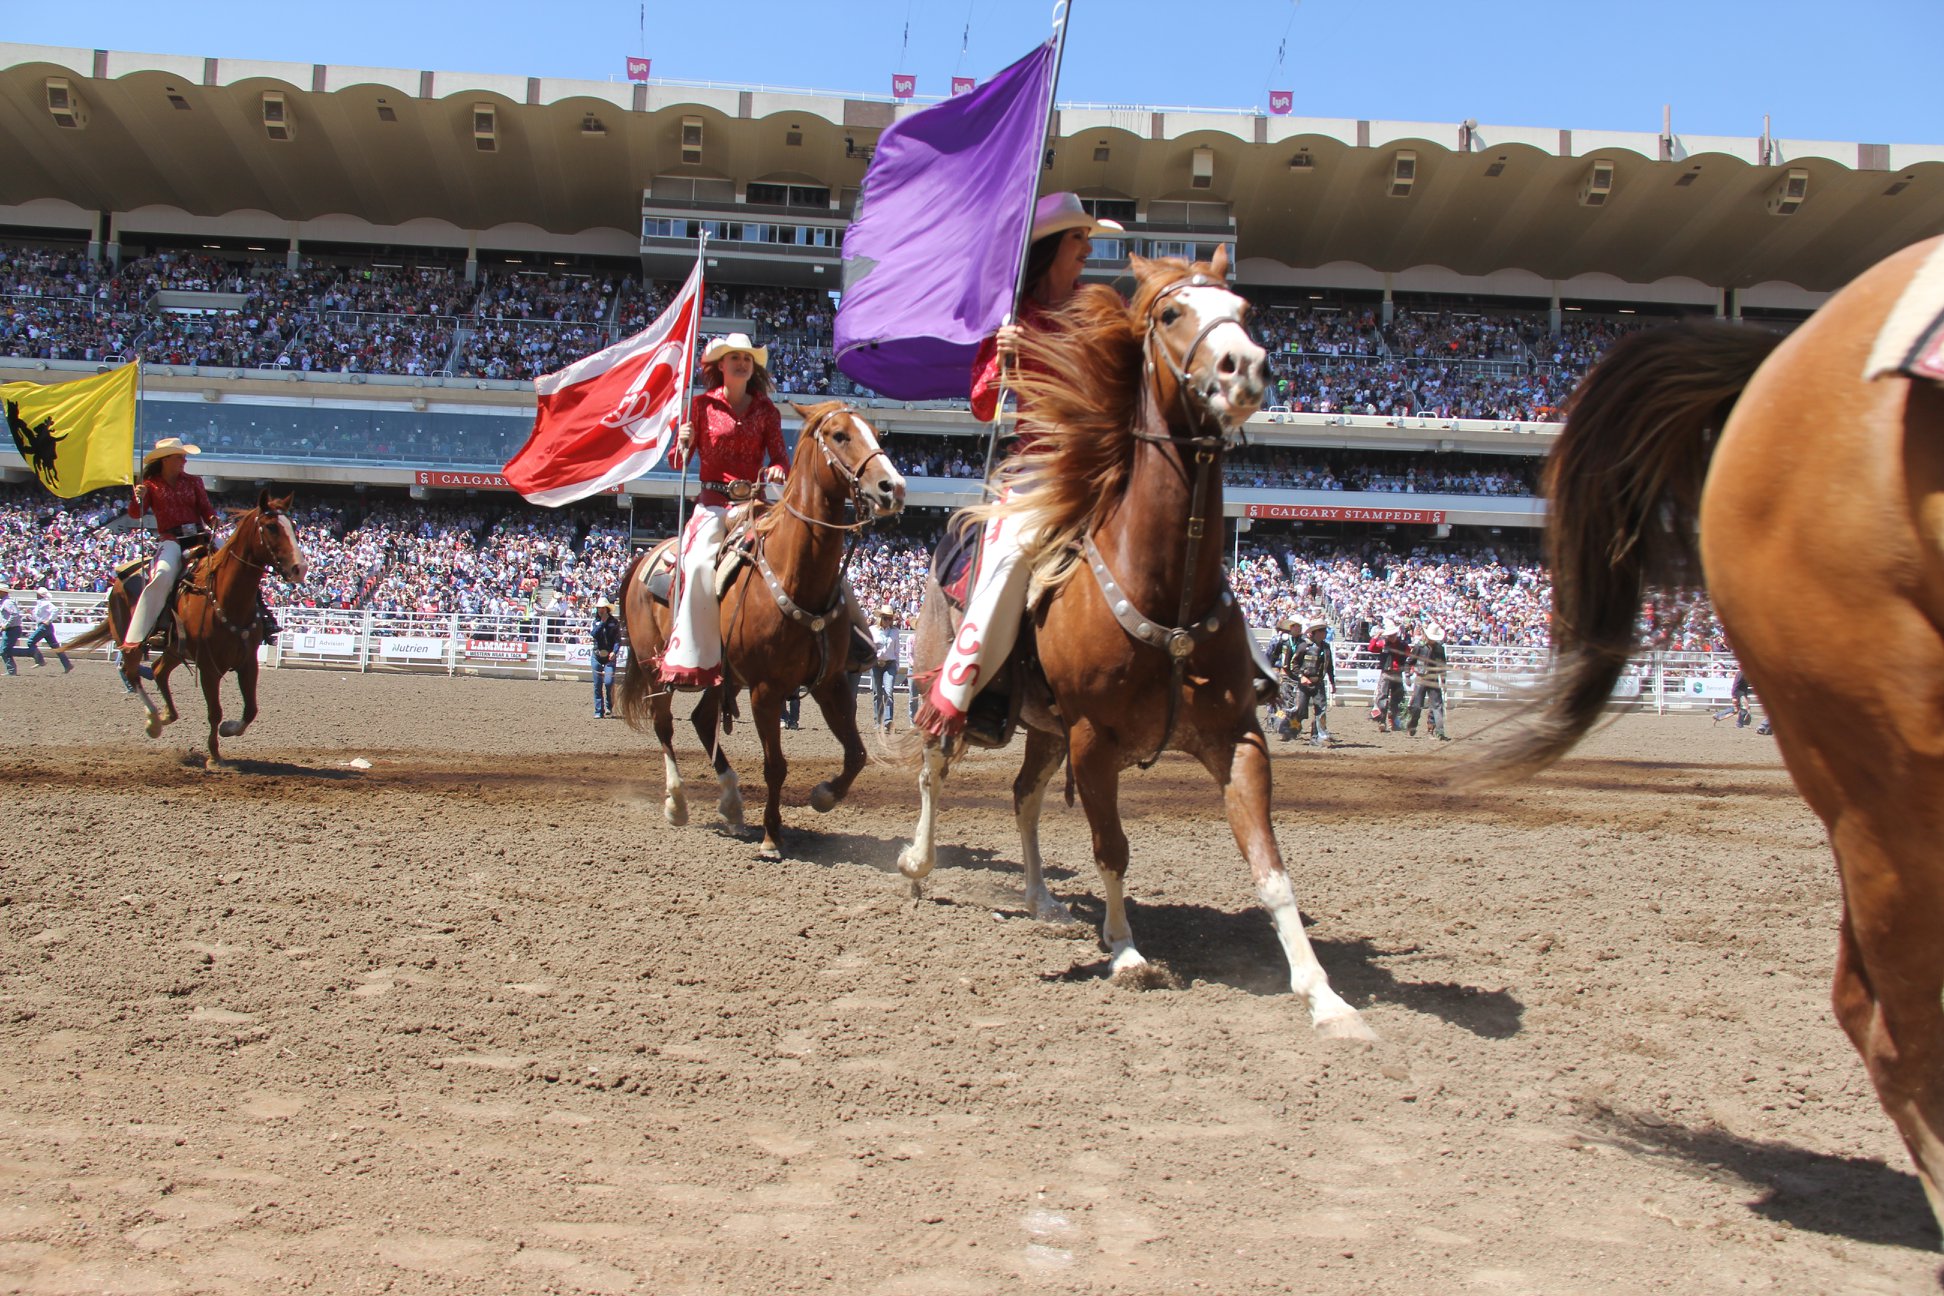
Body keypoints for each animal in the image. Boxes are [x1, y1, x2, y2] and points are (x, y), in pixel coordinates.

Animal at [68, 491, 307, 765]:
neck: (225, 597)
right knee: (133, 673)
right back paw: (153, 721)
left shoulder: (247, 662)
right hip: (132, 641)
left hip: (175, 649)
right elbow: (214, 711)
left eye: (294, 527)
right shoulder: (208, 667)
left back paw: (167, 715)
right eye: (271, 527)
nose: (300, 568)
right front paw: (214, 755)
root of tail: (118, 581)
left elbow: (251, 710)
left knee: (158, 671)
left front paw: (228, 729)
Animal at [618, 400, 905, 854]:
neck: (795, 574)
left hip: (723, 678)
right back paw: (677, 803)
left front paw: (823, 796)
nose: (892, 487)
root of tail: (645, 557)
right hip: (655, 667)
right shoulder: (766, 691)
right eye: (840, 435)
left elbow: (857, 754)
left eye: (876, 433)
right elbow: (776, 765)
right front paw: (772, 836)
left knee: (702, 721)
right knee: (665, 725)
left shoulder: (830, 683)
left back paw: (732, 806)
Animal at [898, 248, 1376, 1041]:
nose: (1245, 366)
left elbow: (1271, 869)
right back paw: (917, 864)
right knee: (934, 771)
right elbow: (1111, 848)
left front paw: (1325, 997)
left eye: (1245, 310)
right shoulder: (1094, 743)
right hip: (948, 689)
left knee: (1024, 796)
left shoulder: (1237, 737)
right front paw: (1125, 952)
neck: (1164, 592)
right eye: (1172, 312)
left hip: (1044, 730)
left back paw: (1042, 899)